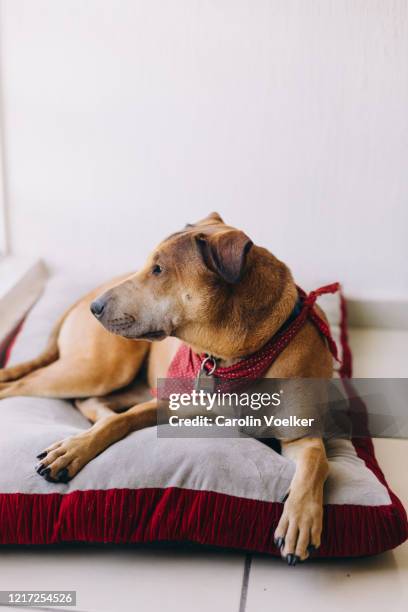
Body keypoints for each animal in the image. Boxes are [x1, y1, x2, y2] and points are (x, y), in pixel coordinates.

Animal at [0, 214, 332, 564]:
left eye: (158, 269)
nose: (96, 308)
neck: (232, 359)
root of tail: (83, 296)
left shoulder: (301, 435)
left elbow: (316, 462)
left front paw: (300, 519)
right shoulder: (167, 402)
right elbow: (120, 420)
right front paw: (74, 448)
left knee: (89, 399)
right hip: (101, 368)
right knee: (19, 385)